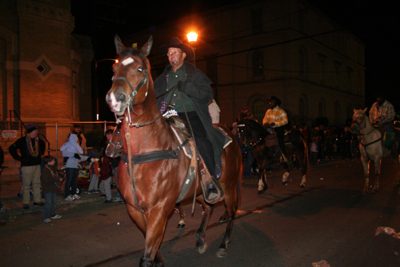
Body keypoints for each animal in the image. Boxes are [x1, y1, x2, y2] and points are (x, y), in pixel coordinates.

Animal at [104, 36, 242, 267]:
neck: (143, 155)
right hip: (201, 191)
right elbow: (152, 245)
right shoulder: (135, 210)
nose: (115, 98)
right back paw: (200, 239)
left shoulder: (160, 209)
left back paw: (223, 245)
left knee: (230, 213)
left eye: (140, 68)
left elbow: (147, 255)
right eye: (114, 68)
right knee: (208, 207)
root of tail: (229, 133)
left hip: (229, 186)